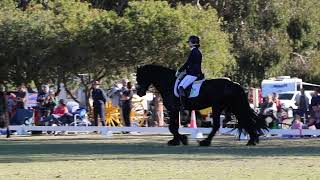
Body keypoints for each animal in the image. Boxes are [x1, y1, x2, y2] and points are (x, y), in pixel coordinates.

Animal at [136, 64, 268, 146]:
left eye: (140, 77)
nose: (139, 92)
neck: (169, 82)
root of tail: (233, 84)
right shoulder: (175, 110)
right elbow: (173, 127)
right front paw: (176, 140)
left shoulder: (173, 109)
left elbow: (172, 127)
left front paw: (182, 139)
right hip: (233, 107)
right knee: (245, 120)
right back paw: (252, 140)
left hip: (218, 107)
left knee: (217, 125)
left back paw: (205, 142)